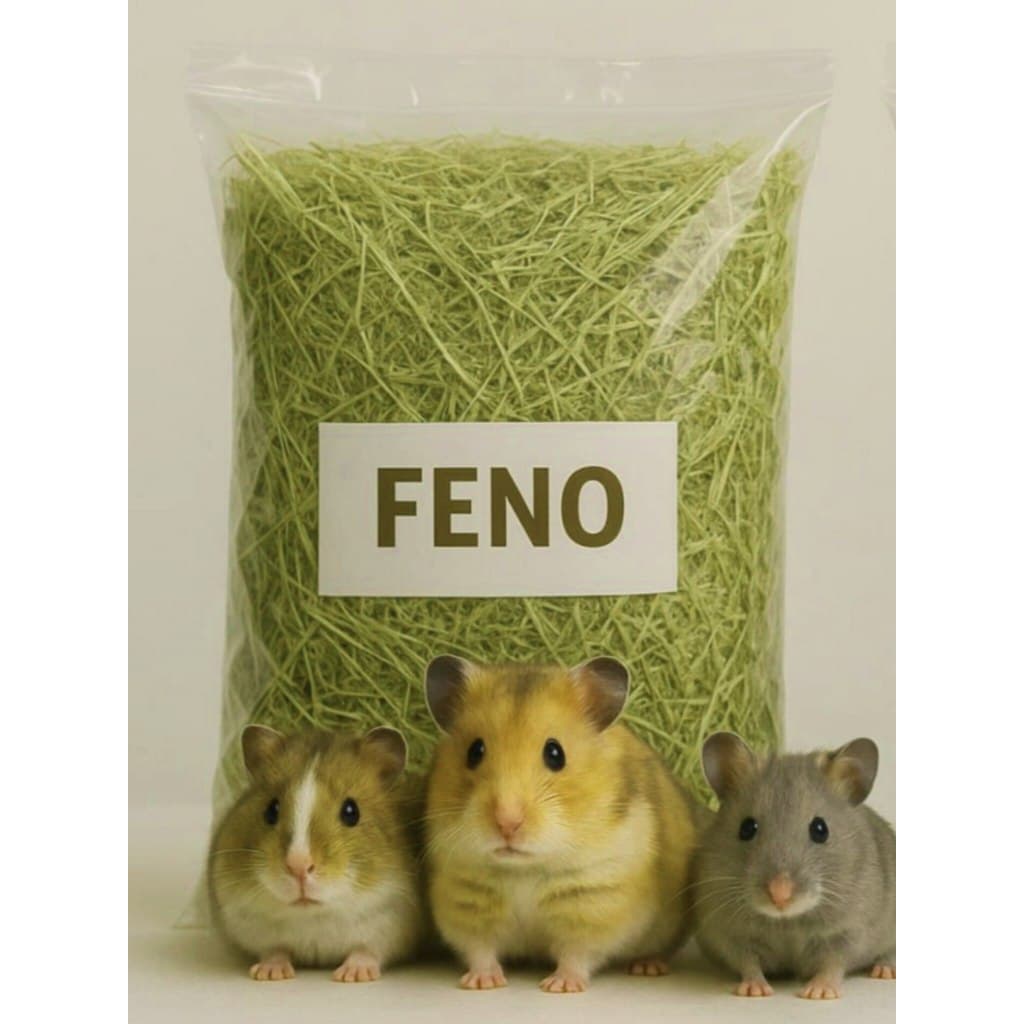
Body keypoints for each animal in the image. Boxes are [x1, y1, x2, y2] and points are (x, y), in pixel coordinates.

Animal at [207, 724, 425, 982]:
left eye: (351, 811)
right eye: (271, 810)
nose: (298, 866)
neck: (314, 915)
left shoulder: (390, 926)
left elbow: (365, 951)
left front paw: (351, 976)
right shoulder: (250, 925)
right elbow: (274, 950)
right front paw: (268, 974)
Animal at [423, 655, 702, 993]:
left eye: (555, 753)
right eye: (474, 751)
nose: (507, 823)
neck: (524, 869)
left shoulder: (593, 903)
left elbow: (576, 954)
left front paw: (559, 987)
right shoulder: (466, 901)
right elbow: (480, 949)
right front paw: (481, 984)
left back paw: (647, 967)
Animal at [693, 732, 896, 1000]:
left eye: (820, 829)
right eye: (746, 828)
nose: (779, 895)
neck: (788, 920)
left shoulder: (849, 932)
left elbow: (834, 963)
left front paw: (817, 993)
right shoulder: (729, 933)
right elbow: (748, 963)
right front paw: (755, 991)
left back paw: (885, 971)